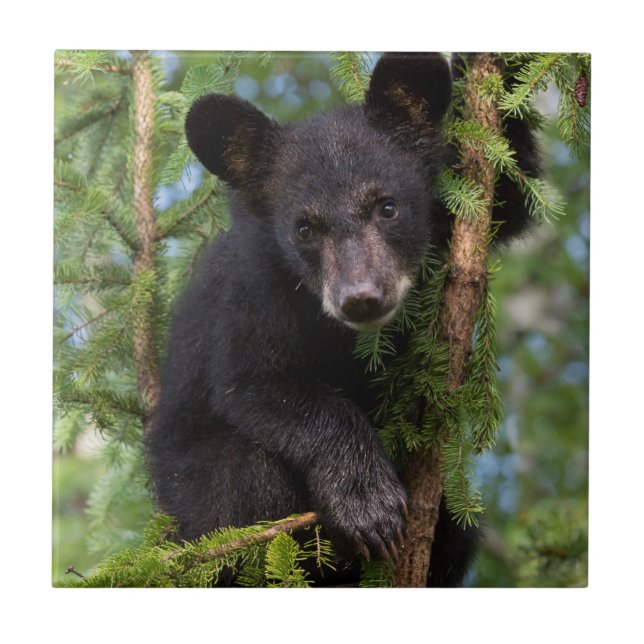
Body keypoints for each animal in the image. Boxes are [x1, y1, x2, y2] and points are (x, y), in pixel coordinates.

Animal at [146, 52, 539, 587]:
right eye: (304, 228)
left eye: (387, 206)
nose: (361, 298)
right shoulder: (253, 292)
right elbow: (258, 383)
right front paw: (367, 504)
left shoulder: (452, 215)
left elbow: (508, 191)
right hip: (191, 497)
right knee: (243, 481)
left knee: (459, 531)